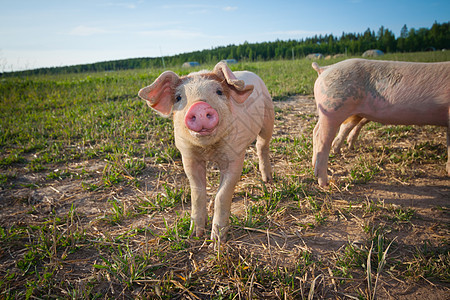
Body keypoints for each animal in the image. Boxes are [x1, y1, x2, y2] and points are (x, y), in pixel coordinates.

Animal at [137, 62, 272, 241]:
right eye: (178, 97)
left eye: (219, 91)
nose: (199, 107)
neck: (208, 149)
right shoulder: (188, 156)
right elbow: (197, 192)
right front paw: (194, 234)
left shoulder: (235, 155)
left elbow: (222, 194)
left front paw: (216, 240)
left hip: (269, 117)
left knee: (262, 145)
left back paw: (268, 180)